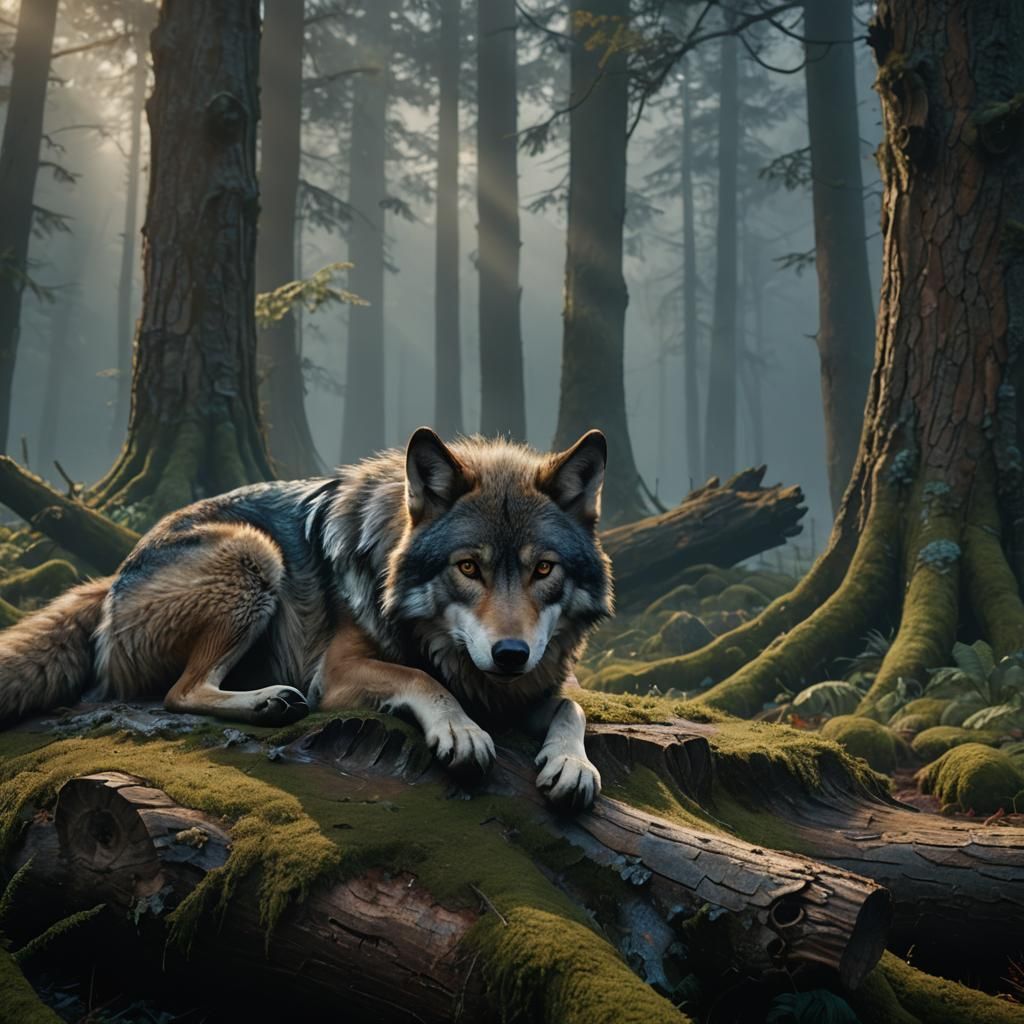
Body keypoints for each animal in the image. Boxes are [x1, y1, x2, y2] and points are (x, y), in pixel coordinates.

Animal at [0, 429, 613, 809]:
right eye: (468, 567)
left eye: (542, 569)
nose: (510, 655)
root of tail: (114, 577)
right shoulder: (337, 671)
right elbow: (422, 678)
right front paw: (460, 729)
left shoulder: (531, 683)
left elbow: (574, 705)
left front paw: (573, 765)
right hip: (252, 556)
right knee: (178, 693)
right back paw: (268, 702)